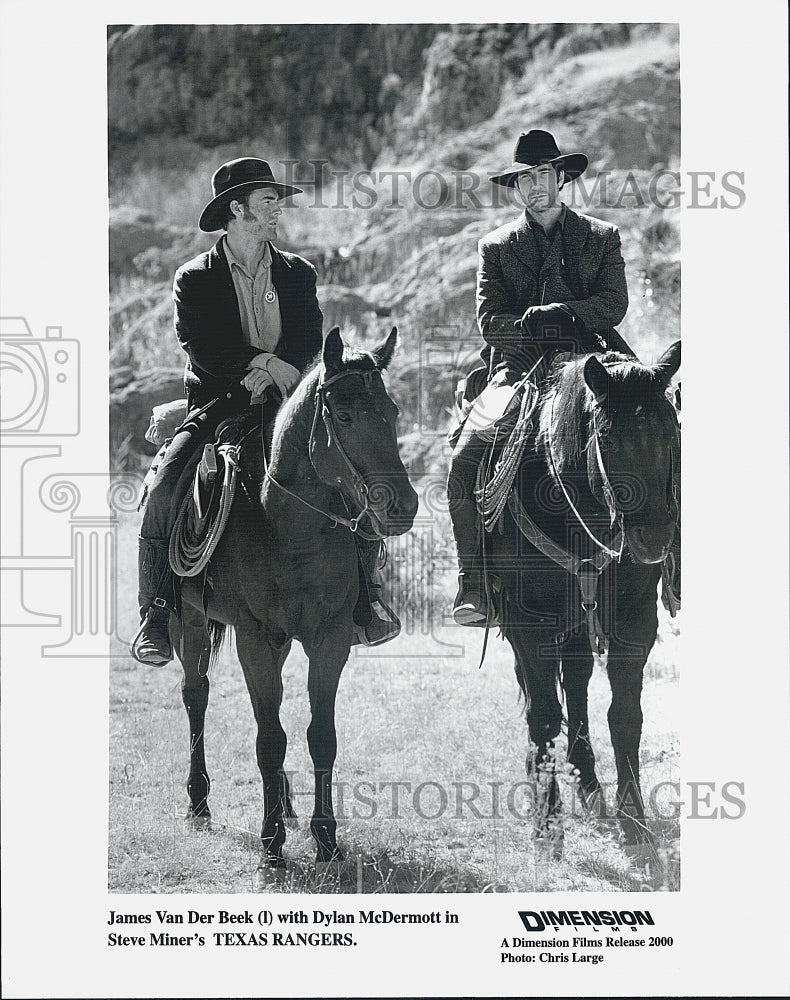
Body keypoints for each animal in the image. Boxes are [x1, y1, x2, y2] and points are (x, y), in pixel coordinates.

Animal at [175, 328, 420, 868]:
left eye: (392, 411)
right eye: (343, 416)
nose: (403, 507)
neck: (288, 527)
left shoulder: (330, 639)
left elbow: (317, 735)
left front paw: (325, 837)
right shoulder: (254, 639)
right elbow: (269, 738)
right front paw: (271, 843)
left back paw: (285, 802)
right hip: (192, 621)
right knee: (196, 695)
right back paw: (199, 801)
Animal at [488, 342, 680, 852]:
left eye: (672, 431)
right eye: (608, 439)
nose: (654, 540)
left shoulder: (635, 622)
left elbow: (625, 714)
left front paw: (633, 818)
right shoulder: (530, 625)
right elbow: (543, 716)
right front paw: (547, 824)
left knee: (575, 681)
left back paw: (590, 782)